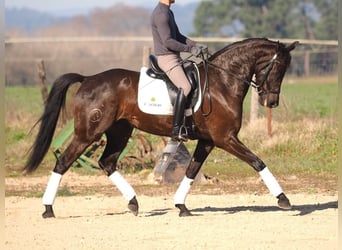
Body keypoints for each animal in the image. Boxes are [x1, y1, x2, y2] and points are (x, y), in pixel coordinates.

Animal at [24, 37, 296, 217]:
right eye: (278, 68)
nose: (271, 102)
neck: (222, 82)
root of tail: (88, 79)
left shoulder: (208, 141)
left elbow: (191, 171)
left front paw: (181, 206)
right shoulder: (225, 138)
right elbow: (257, 161)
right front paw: (283, 199)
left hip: (120, 132)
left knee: (107, 162)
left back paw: (133, 203)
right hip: (88, 133)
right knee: (63, 162)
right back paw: (48, 209)